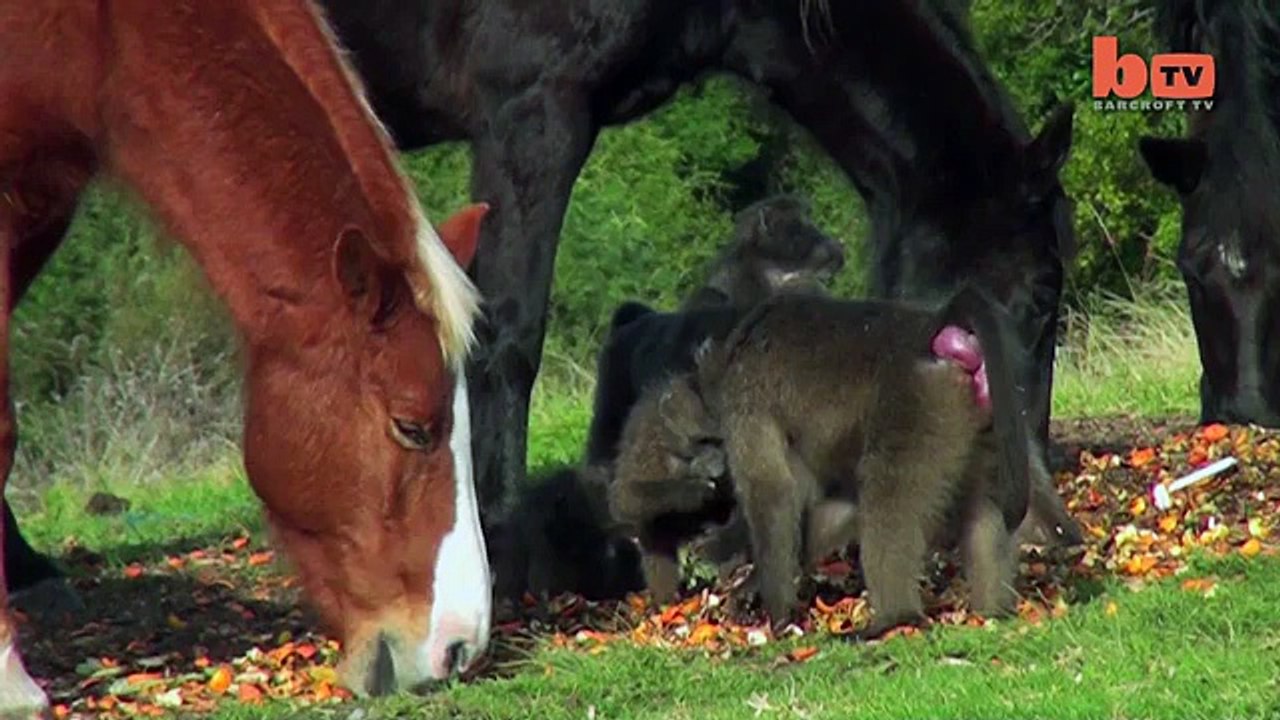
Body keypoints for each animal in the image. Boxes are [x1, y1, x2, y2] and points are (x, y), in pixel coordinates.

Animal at [694, 285, 1038, 636]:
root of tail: (930, 327)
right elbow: (833, 506)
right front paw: (749, 590)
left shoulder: (745, 395)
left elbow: (772, 491)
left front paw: (778, 617)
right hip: (980, 417)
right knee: (985, 506)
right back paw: (994, 613)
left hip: (918, 405)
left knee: (887, 496)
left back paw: (895, 619)